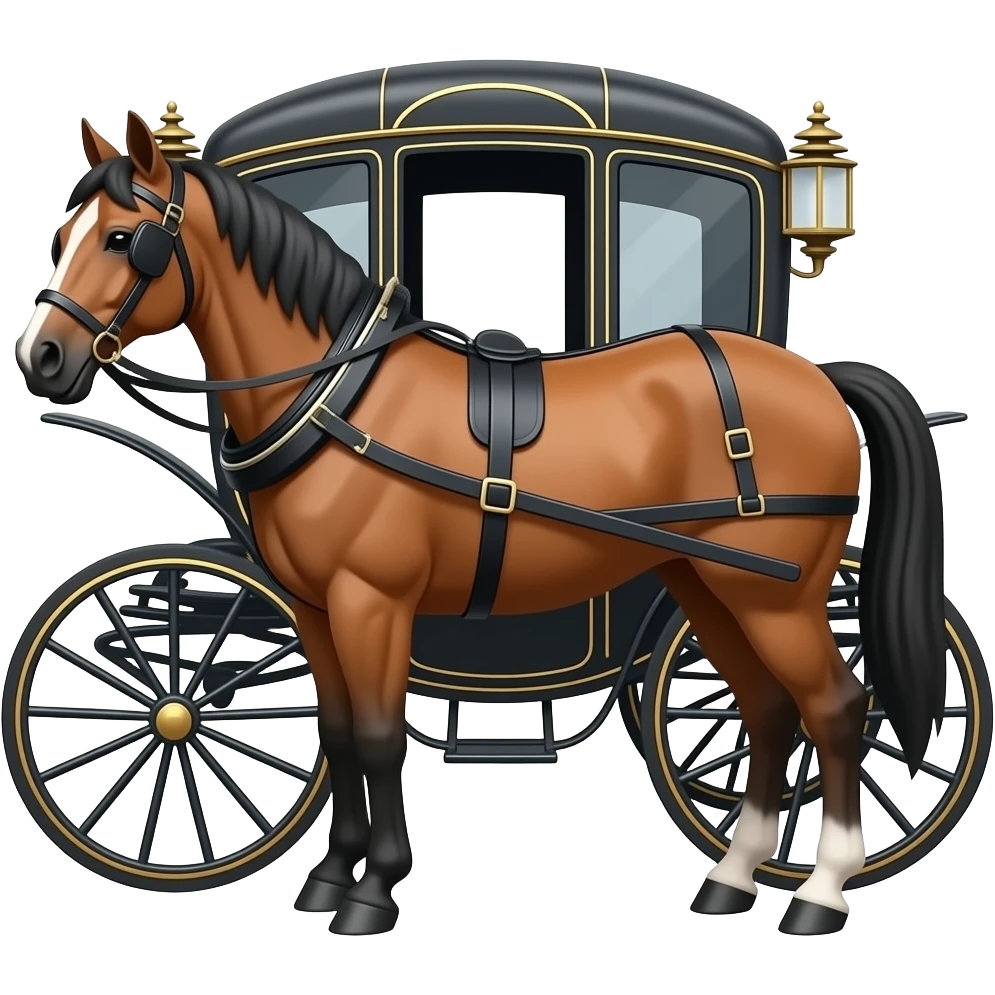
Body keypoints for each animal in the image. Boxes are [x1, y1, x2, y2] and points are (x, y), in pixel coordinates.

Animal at [14, 109, 947, 937]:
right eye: (62, 231)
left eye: (121, 239)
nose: (42, 359)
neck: (336, 397)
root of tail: (815, 377)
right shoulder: (313, 607)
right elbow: (339, 734)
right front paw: (329, 876)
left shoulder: (372, 601)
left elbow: (378, 736)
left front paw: (374, 891)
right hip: (708, 585)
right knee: (767, 710)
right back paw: (730, 877)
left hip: (776, 597)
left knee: (836, 708)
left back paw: (820, 890)